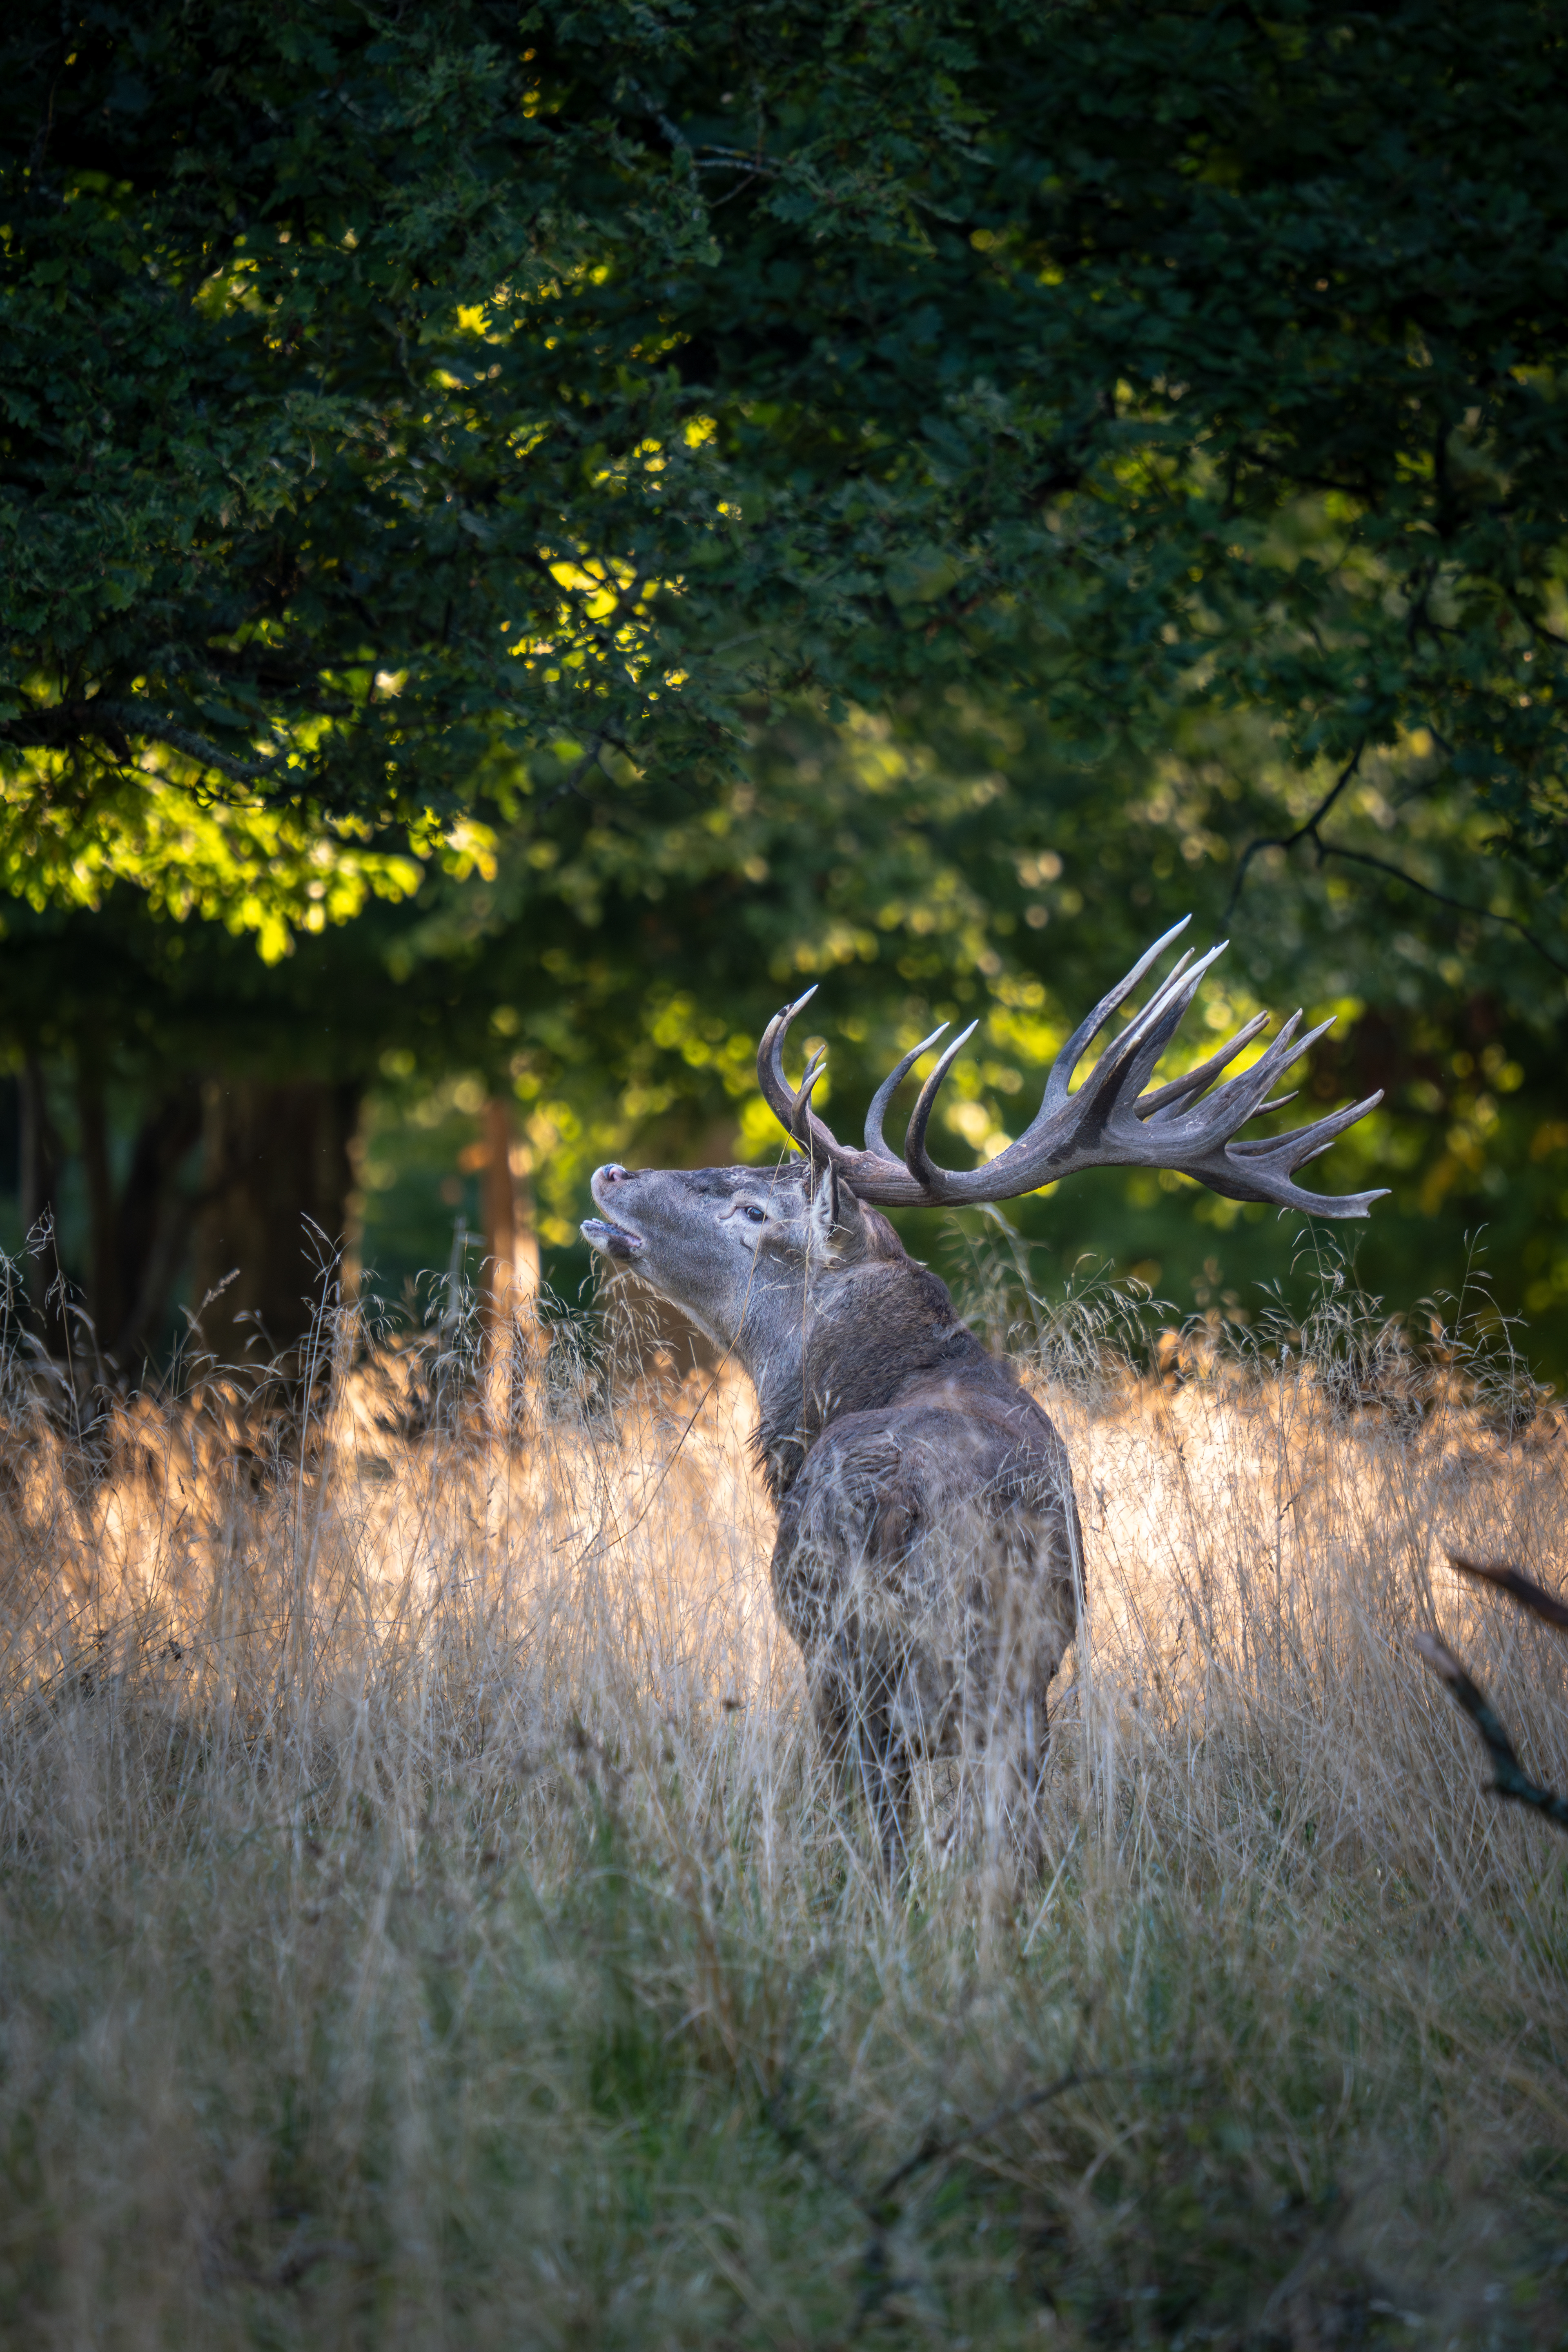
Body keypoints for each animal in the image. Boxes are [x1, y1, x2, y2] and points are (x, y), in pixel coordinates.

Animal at [582, 919, 1385, 1873]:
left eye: (750, 1209)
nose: (611, 1174)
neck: (845, 1385)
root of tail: (894, 1502)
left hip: (844, 1658)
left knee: (881, 1827)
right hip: (1015, 1672)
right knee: (1014, 1842)